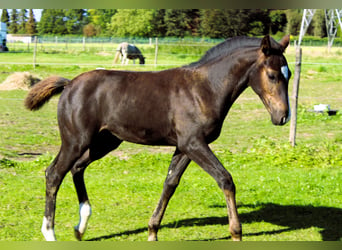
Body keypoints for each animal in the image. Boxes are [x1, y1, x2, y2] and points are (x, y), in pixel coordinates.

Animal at [24, 34, 292, 241]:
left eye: (288, 75)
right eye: (271, 75)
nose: (283, 116)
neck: (205, 88)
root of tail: (69, 84)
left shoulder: (185, 147)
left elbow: (170, 183)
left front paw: (152, 231)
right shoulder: (194, 143)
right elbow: (225, 179)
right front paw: (236, 232)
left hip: (105, 142)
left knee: (77, 168)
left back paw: (81, 227)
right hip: (75, 140)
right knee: (54, 173)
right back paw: (50, 233)